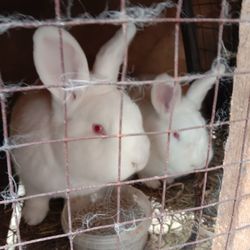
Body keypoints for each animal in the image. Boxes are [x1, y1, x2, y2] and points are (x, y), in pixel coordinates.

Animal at [10, 24, 149, 226]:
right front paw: (32, 218)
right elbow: (37, 199)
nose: (140, 160)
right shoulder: (30, 180)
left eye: (137, 112)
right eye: (98, 128)